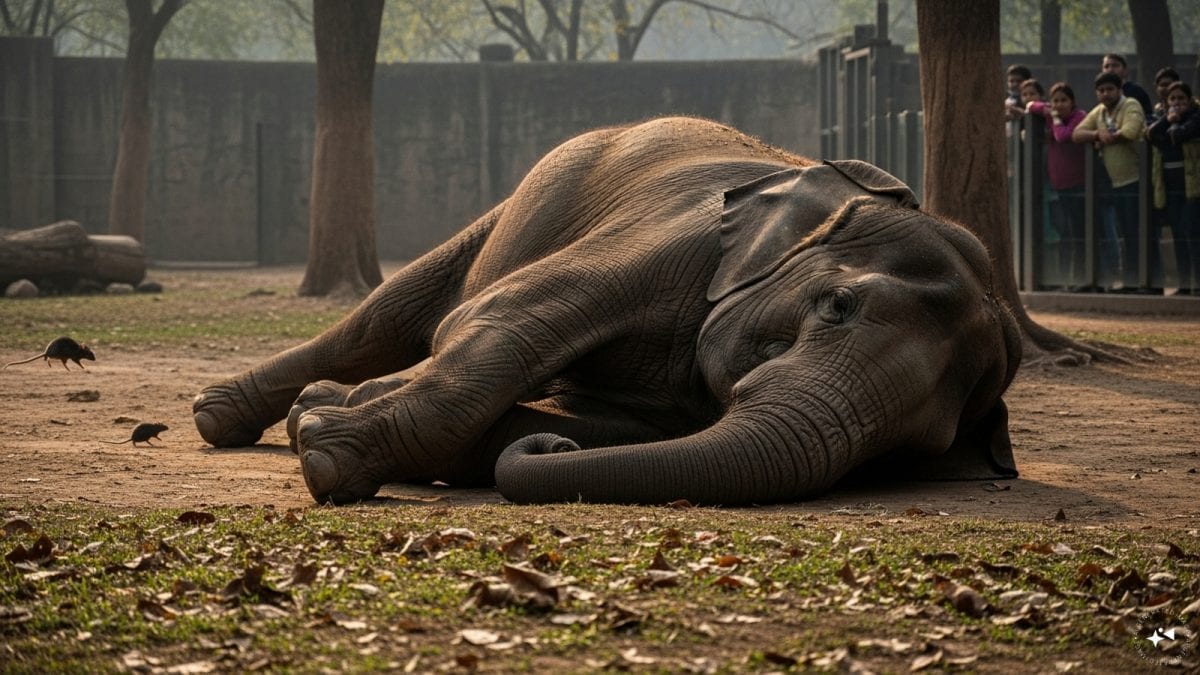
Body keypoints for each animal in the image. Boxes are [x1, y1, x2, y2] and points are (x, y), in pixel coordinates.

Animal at [193, 116, 1022, 506]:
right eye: (839, 305)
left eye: (918, 444)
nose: (550, 449)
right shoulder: (676, 237)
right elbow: (506, 321)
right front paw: (325, 454)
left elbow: (614, 428)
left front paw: (322, 425)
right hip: (538, 187)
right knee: (392, 316)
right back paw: (223, 413)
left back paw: (324, 399)